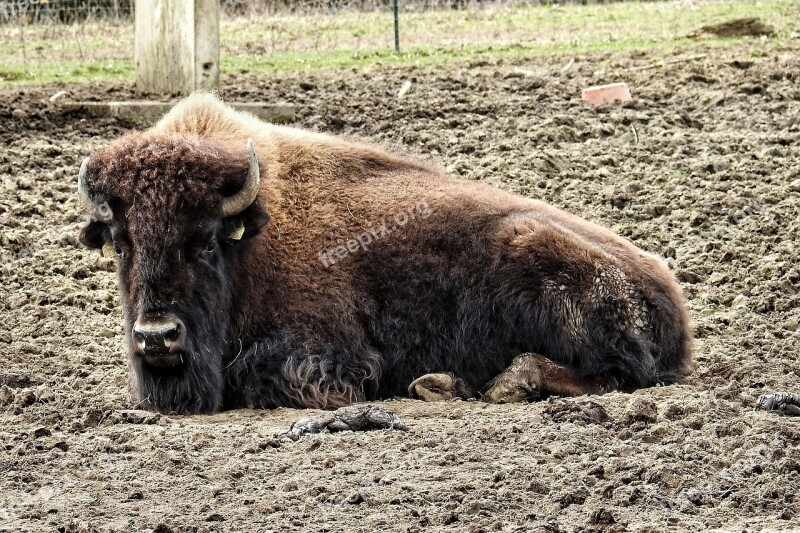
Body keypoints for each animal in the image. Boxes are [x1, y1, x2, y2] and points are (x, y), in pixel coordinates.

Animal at [78, 93, 696, 414]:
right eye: (120, 241)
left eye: (206, 239)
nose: (157, 337)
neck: (249, 240)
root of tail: (668, 292)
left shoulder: (334, 355)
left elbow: (256, 370)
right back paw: (442, 385)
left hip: (545, 262)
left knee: (618, 373)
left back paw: (499, 384)